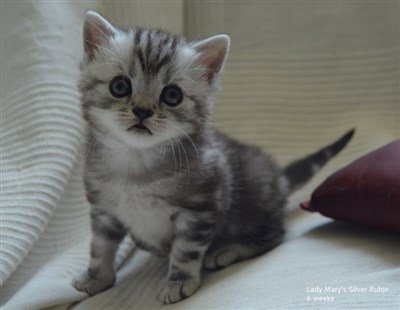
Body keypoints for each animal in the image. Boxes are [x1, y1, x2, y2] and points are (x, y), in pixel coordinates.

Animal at [72, 10, 354, 304]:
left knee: (275, 234)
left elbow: (185, 251)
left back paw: (228, 251)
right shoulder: (103, 209)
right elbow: (100, 246)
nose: (142, 110)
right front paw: (96, 277)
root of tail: (280, 179)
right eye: (119, 86)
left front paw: (179, 282)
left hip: (255, 201)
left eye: (172, 95)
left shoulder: (200, 209)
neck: (136, 163)